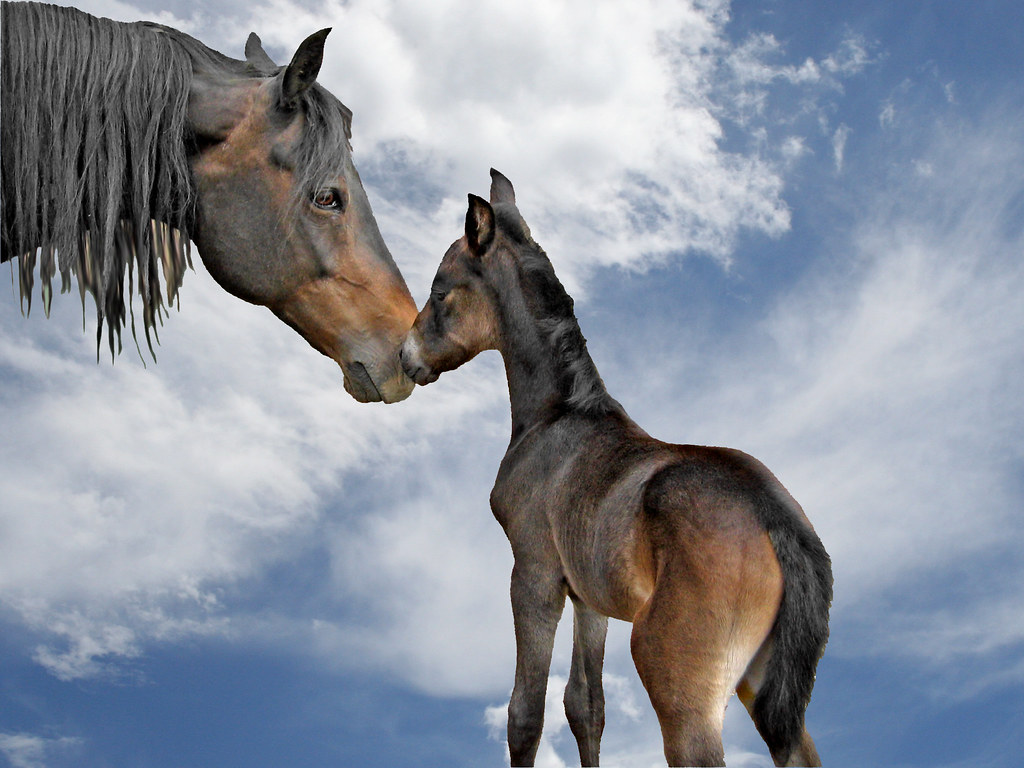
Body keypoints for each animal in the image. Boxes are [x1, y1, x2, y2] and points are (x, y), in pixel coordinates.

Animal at [399, 173, 831, 768]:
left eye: (441, 289)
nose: (405, 356)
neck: (559, 413)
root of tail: (777, 519)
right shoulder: (589, 597)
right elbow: (586, 706)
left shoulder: (534, 574)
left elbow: (525, 713)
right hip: (765, 684)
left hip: (677, 681)